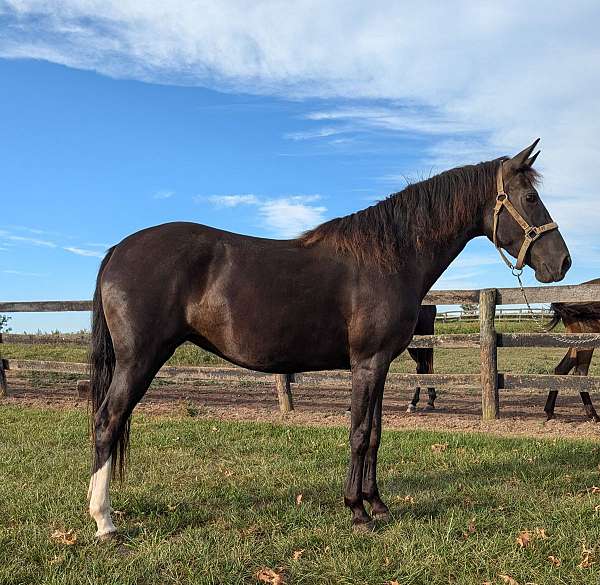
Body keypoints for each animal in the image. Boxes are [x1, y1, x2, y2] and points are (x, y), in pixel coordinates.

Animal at [86, 140, 568, 532]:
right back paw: (104, 520)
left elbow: (375, 434)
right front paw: (356, 511)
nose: (561, 262)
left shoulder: (380, 365)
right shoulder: (366, 364)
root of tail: (119, 250)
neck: (390, 257)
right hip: (139, 360)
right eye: (530, 197)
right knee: (107, 421)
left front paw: (378, 505)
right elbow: (358, 432)